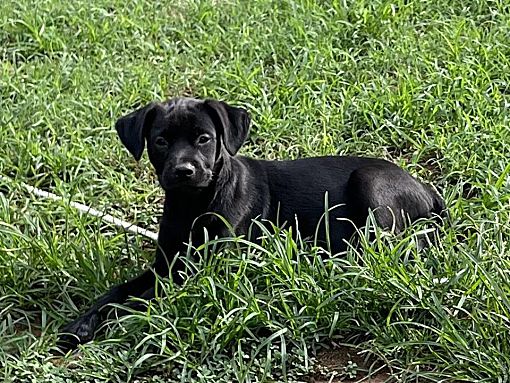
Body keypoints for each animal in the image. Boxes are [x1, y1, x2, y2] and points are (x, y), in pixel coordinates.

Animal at [57, 98, 444, 352]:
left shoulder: (212, 265)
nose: (184, 171)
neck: (194, 205)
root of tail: (425, 187)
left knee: (398, 247)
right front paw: (81, 323)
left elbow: (143, 297)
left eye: (204, 138)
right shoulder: (168, 264)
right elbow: (118, 290)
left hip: (371, 184)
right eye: (161, 141)